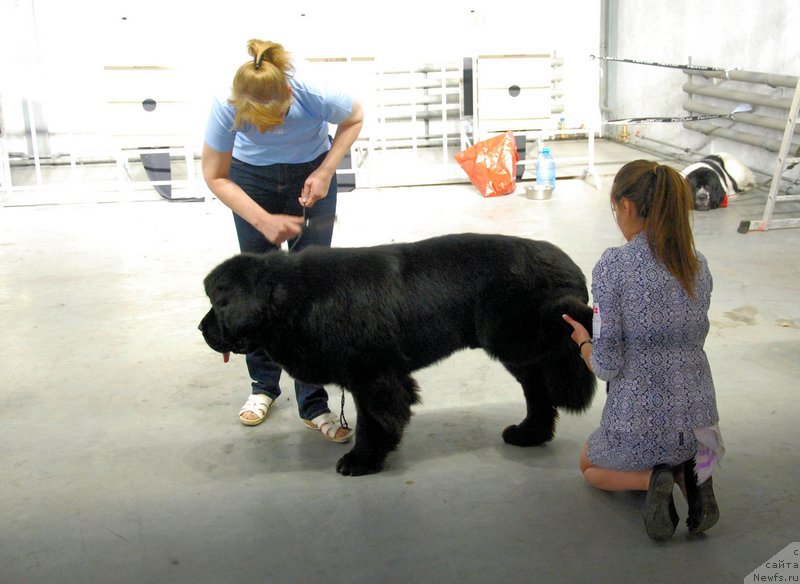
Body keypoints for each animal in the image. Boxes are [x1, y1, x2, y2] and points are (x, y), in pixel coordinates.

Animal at [202, 232, 592, 474]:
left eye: (217, 305)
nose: (201, 330)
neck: (296, 298)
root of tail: (570, 265)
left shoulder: (371, 376)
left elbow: (374, 420)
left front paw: (361, 461)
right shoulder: (379, 376)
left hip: (515, 336)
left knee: (569, 331)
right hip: (512, 347)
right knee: (538, 388)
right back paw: (529, 433)